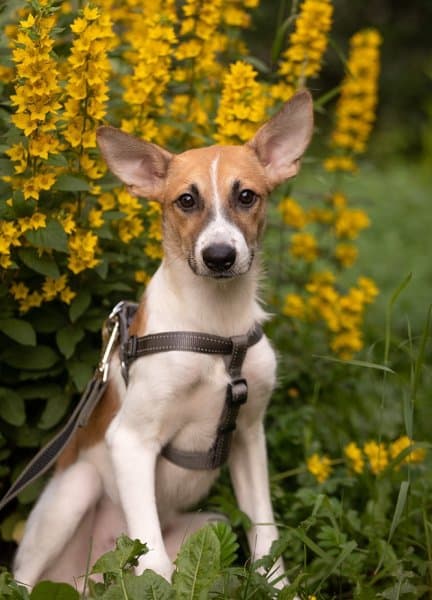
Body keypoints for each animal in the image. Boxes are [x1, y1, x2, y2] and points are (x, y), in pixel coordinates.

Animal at [13, 89, 313, 589]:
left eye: (246, 196)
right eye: (186, 200)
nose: (219, 256)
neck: (216, 329)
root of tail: (84, 580)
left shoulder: (250, 437)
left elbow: (266, 535)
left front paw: (282, 592)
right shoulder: (130, 441)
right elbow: (155, 563)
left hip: (208, 523)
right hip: (76, 488)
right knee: (23, 577)